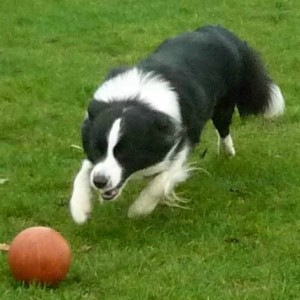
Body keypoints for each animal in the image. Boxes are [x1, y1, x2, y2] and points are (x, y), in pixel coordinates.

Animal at [69, 25, 284, 223]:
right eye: (97, 149)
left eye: (125, 152)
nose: (99, 182)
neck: (135, 101)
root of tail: (220, 30)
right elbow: (84, 170)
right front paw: (79, 208)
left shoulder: (183, 138)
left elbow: (161, 182)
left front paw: (139, 209)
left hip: (224, 105)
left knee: (224, 128)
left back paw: (228, 152)